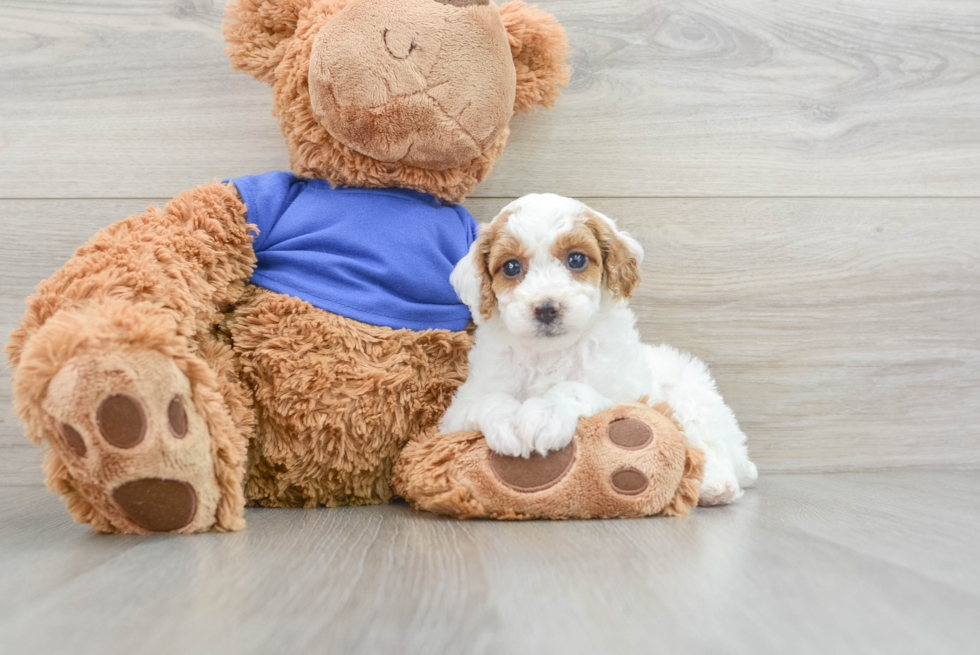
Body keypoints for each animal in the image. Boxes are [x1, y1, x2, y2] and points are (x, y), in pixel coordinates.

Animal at [442, 192, 756, 504]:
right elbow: (489, 400)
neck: (550, 352)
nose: (546, 308)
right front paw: (508, 423)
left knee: (709, 443)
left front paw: (545, 416)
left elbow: (574, 388)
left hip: (691, 396)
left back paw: (716, 483)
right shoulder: (456, 414)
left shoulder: (627, 395)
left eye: (576, 259)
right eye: (511, 267)